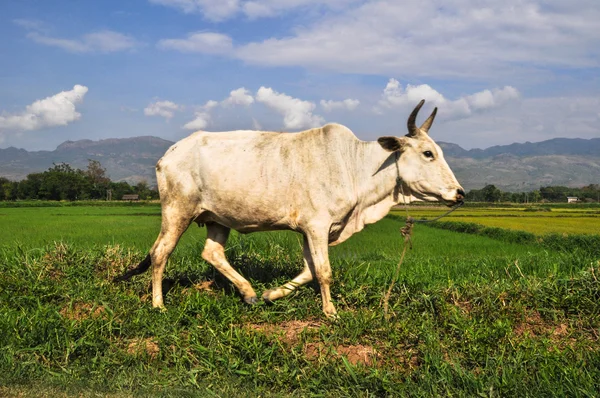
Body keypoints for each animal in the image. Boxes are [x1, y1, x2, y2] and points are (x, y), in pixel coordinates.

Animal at [116, 99, 464, 318]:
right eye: (428, 153)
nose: (459, 194)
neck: (356, 166)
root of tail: (170, 154)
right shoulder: (317, 226)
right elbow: (323, 272)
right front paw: (331, 312)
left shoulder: (309, 230)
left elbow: (309, 270)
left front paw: (271, 295)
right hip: (177, 211)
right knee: (160, 253)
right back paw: (158, 305)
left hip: (218, 218)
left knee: (211, 253)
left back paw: (249, 293)